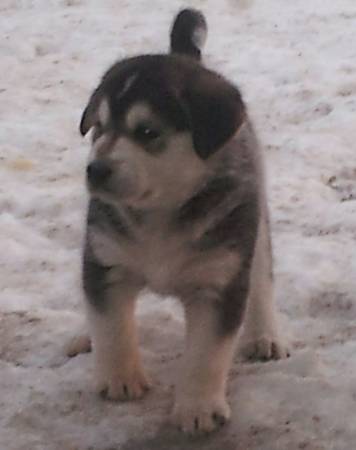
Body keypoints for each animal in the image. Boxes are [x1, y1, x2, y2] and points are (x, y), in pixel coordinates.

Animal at [73, 7, 288, 436]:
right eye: (99, 128)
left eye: (147, 131)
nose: (95, 170)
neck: (161, 214)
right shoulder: (105, 260)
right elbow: (111, 326)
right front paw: (120, 377)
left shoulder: (219, 280)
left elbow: (206, 353)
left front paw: (198, 408)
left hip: (253, 229)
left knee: (262, 278)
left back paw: (264, 335)